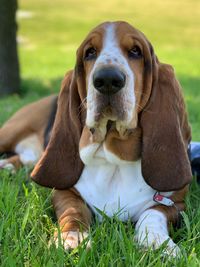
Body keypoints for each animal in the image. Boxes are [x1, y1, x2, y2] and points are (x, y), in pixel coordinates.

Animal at [0, 20, 192, 255]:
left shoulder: (176, 204)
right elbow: (73, 211)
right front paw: (72, 238)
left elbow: (152, 213)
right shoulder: (64, 192)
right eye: (90, 52)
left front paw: (157, 243)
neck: (114, 160)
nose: (107, 79)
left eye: (135, 51)